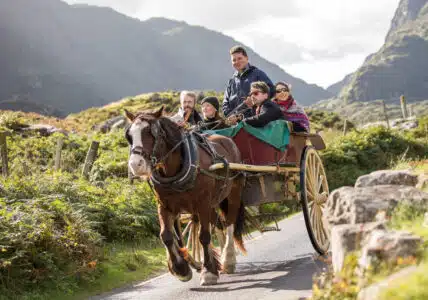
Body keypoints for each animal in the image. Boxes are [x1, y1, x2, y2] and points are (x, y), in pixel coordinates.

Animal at [123, 106, 246, 284]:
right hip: (212, 202)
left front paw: (208, 272)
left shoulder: (202, 203)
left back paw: (228, 259)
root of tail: (228, 140)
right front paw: (181, 269)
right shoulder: (164, 205)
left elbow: (204, 236)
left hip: (233, 193)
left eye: (151, 132)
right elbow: (166, 236)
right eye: (129, 135)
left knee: (229, 222)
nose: (135, 165)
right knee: (217, 224)